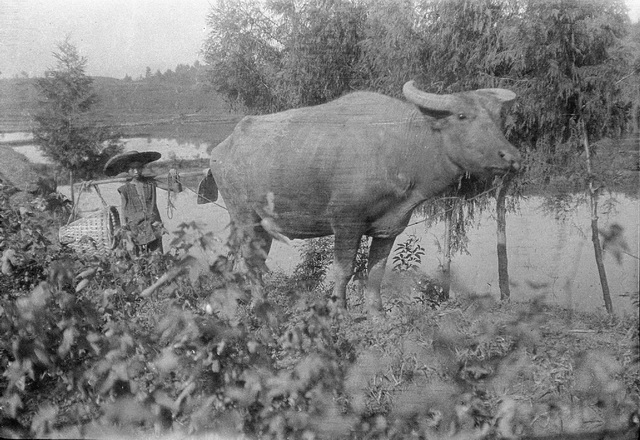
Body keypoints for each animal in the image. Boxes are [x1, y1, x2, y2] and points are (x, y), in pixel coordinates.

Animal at [210, 81, 520, 312]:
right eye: (462, 116)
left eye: (498, 117)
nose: (511, 157)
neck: (400, 148)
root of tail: (222, 148)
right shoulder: (346, 222)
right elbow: (344, 269)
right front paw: (339, 309)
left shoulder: (390, 226)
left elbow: (376, 271)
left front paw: (376, 313)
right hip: (244, 217)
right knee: (250, 261)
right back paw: (259, 305)